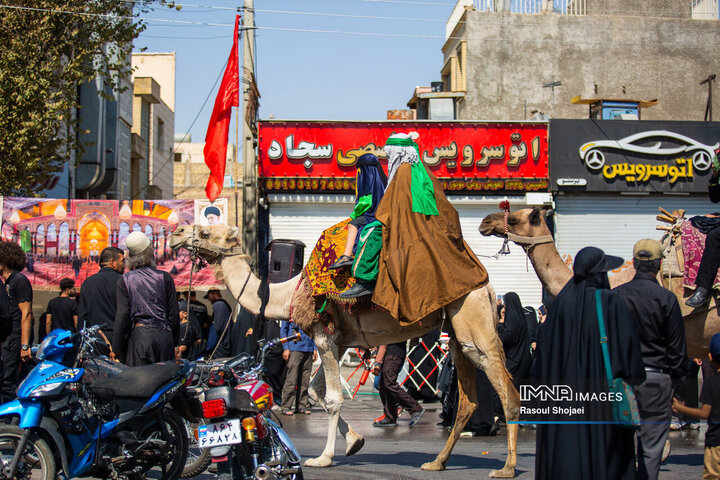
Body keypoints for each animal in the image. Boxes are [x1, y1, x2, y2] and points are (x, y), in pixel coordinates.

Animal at [173, 224, 524, 476]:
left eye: (206, 232)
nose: (177, 235)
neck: (288, 294)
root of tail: (488, 286)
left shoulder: (323, 336)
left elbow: (331, 398)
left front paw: (324, 458)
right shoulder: (340, 341)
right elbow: (316, 392)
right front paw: (355, 441)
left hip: (472, 319)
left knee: (506, 389)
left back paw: (506, 468)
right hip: (457, 329)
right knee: (467, 399)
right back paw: (437, 462)